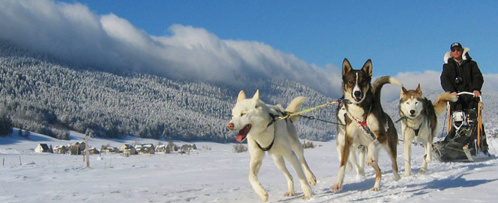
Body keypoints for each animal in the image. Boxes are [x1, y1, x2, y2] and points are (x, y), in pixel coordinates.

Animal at [330, 58, 400, 192]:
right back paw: (376, 185)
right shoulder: (348, 142)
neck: (360, 113)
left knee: (393, 164)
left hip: (390, 146)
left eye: (363, 81)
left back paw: (395, 176)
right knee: (379, 170)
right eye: (350, 82)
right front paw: (337, 183)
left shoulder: (381, 135)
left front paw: (368, 158)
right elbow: (343, 164)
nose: (357, 93)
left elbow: (372, 143)